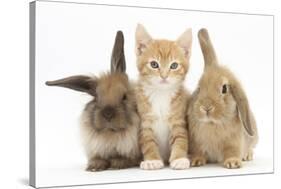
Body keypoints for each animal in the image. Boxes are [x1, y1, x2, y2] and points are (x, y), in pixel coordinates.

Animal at [46, 31, 141, 171]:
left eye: (124, 96)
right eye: (96, 98)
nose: (108, 114)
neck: (110, 134)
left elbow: (128, 159)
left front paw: (118, 163)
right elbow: (97, 158)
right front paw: (95, 166)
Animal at [135, 24, 191, 170]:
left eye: (174, 65)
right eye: (154, 64)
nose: (164, 76)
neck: (160, 94)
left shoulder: (178, 119)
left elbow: (180, 138)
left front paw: (180, 158)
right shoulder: (145, 121)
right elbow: (148, 141)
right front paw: (152, 160)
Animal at [187, 28, 258, 168]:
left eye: (224, 88)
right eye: (199, 88)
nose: (206, 107)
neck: (213, 123)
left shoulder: (234, 142)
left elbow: (232, 151)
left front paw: (233, 163)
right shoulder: (196, 143)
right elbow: (198, 151)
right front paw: (195, 161)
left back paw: (247, 155)